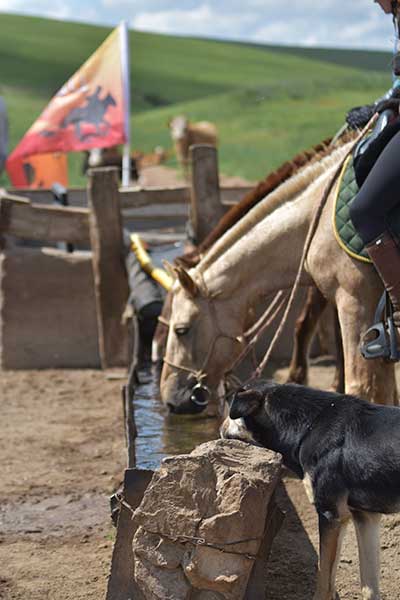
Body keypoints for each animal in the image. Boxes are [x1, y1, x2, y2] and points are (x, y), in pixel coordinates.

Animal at [220, 382, 400, 596]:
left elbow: (324, 584)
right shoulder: (365, 517)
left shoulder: (331, 516)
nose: (220, 429)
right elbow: (369, 587)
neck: (309, 426)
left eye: (228, 410)